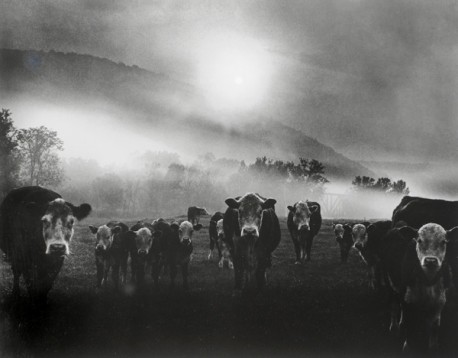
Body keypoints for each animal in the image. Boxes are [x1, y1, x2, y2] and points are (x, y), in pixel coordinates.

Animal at [380, 224, 458, 352]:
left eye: (443, 242)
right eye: (419, 240)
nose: (430, 260)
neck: (428, 281)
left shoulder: (439, 302)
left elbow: (435, 327)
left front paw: (433, 348)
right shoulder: (408, 302)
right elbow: (409, 326)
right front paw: (407, 347)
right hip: (389, 283)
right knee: (394, 305)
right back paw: (394, 327)